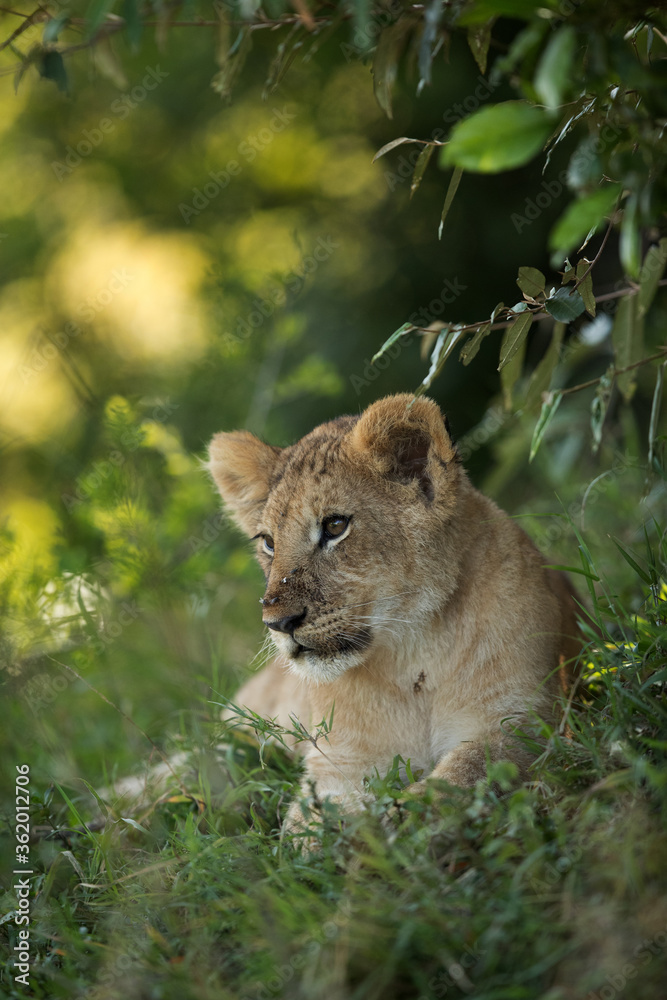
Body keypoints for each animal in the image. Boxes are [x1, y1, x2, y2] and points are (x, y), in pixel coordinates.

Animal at [208, 394, 582, 830]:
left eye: (335, 526)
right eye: (268, 542)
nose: (277, 624)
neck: (412, 651)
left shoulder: (522, 721)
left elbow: (462, 777)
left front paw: (398, 822)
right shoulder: (340, 761)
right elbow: (308, 826)